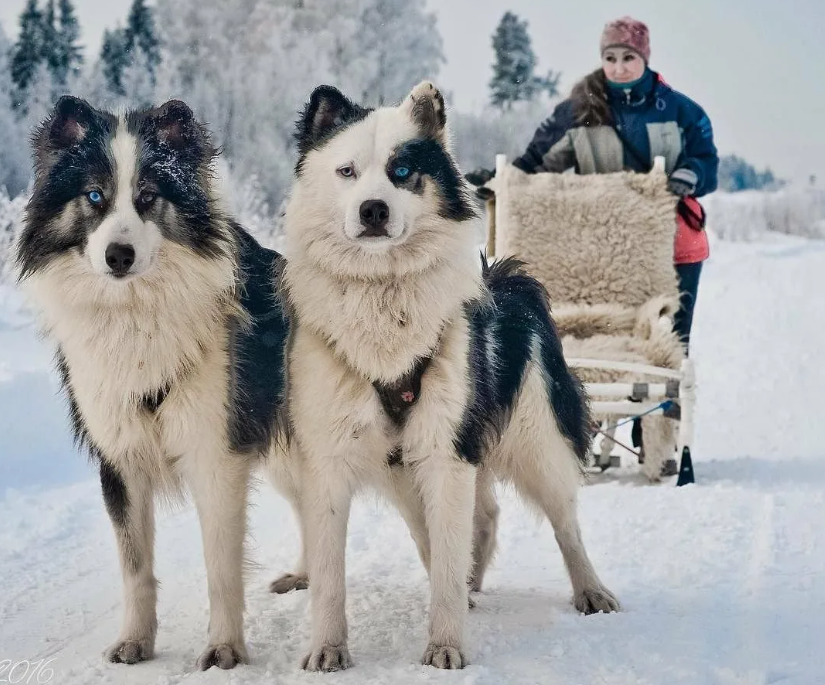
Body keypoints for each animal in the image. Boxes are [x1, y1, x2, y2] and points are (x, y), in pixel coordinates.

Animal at [16, 96, 290, 668]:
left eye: (147, 197)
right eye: (94, 196)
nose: (118, 256)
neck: (135, 314)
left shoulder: (216, 454)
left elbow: (220, 565)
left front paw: (224, 647)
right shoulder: (119, 459)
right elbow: (135, 566)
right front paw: (134, 641)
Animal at [272, 83, 616, 672]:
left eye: (402, 170)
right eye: (346, 171)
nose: (373, 209)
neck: (382, 297)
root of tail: (505, 278)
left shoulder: (445, 449)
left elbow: (451, 561)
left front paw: (445, 644)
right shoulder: (329, 459)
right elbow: (330, 574)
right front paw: (328, 647)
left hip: (535, 443)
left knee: (563, 522)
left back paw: (589, 589)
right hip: (409, 472)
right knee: (476, 522)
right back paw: (473, 583)